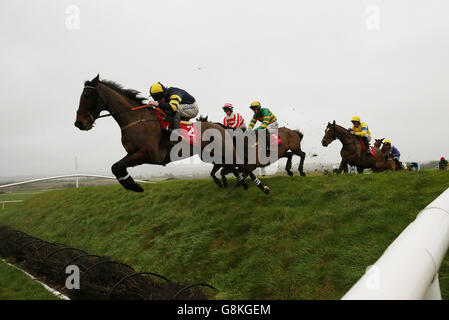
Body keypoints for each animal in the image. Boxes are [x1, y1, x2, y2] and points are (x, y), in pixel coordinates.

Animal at [73, 75, 266, 192]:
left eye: (87, 96)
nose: (79, 123)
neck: (136, 119)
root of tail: (220, 125)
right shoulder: (133, 153)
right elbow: (116, 166)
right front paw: (131, 184)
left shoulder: (149, 154)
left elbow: (118, 166)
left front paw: (133, 185)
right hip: (211, 154)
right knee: (232, 167)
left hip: (224, 151)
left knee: (241, 165)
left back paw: (261, 186)